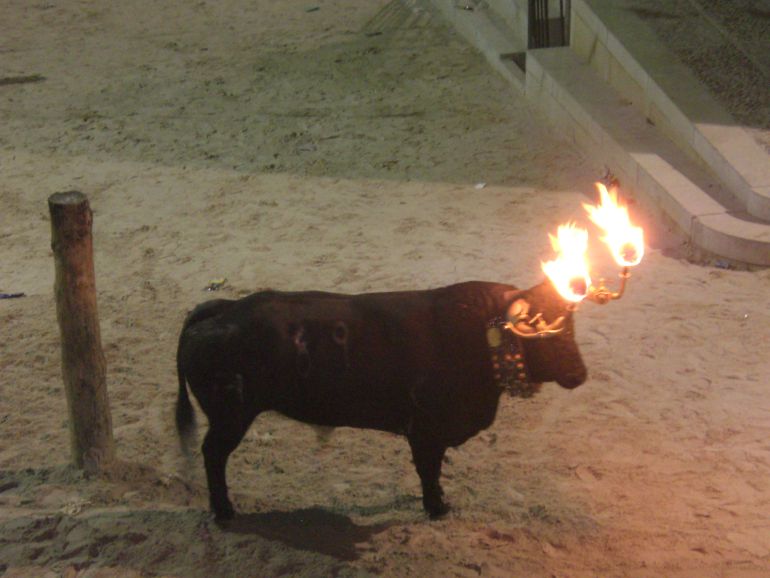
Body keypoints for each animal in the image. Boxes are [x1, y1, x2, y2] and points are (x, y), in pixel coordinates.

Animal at [174, 280, 584, 516]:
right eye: (549, 329)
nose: (580, 374)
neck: (481, 333)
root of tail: (224, 308)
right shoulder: (426, 432)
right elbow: (429, 472)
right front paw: (437, 507)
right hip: (231, 417)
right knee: (213, 455)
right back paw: (224, 510)